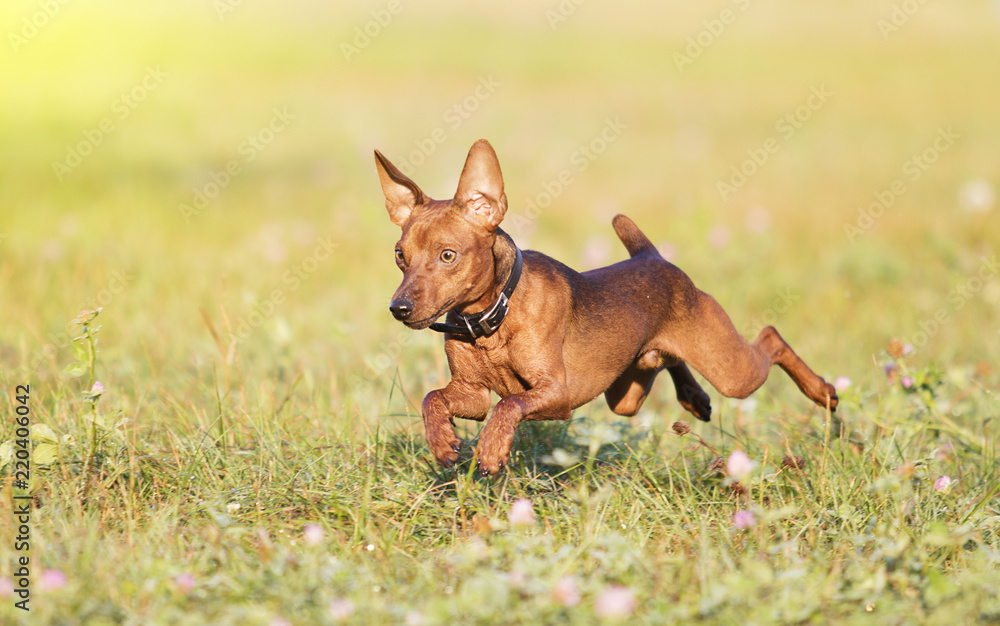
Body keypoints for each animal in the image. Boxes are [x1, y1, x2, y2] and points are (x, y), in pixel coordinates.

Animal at [376, 139, 836, 476]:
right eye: (399, 255)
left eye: (448, 255)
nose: (399, 308)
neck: (490, 319)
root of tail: (651, 256)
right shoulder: (472, 396)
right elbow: (433, 398)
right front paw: (441, 441)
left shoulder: (555, 394)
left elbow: (509, 406)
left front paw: (491, 450)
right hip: (627, 391)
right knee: (667, 360)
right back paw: (694, 397)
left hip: (731, 370)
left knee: (771, 339)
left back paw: (822, 392)